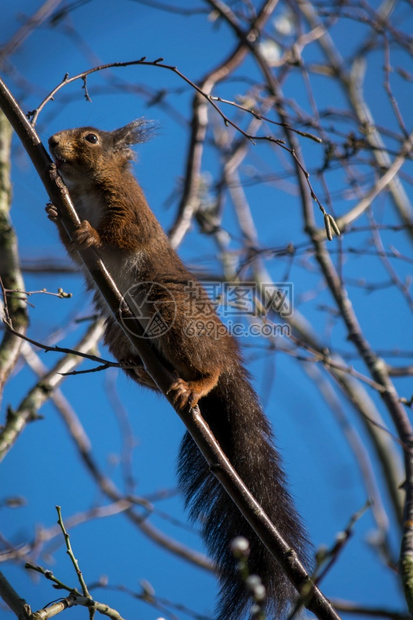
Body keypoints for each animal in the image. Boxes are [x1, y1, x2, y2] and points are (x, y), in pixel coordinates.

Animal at [46, 121, 308, 620]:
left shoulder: (130, 210)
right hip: (115, 331)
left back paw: (197, 383)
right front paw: (54, 211)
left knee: (208, 369)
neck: (85, 189)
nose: (50, 142)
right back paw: (142, 366)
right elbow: (70, 250)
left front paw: (91, 236)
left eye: (91, 138)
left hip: (172, 311)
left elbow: (122, 234)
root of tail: (227, 353)